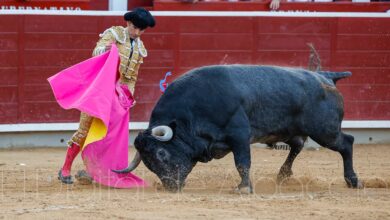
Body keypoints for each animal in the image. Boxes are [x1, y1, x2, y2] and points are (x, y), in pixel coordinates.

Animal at [113, 65, 362, 192]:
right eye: (148, 163)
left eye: (161, 153)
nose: (171, 186)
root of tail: (325, 76)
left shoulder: (240, 135)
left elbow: (242, 162)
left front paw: (243, 188)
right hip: (289, 130)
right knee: (298, 145)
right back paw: (283, 175)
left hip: (325, 131)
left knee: (346, 143)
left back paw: (353, 181)